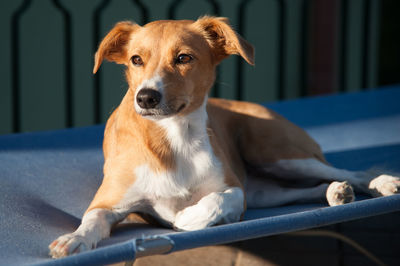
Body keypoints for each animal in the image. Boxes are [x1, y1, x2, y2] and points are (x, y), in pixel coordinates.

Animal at [48, 16, 398, 258]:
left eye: (184, 58)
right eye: (136, 59)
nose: (146, 97)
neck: (175, 138)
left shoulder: (234, 190)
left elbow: (213, 202)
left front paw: (186, 217)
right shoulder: (108, 201)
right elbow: (92, 220)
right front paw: (73, 239)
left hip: (277, 154)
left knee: (352, 171)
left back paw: (381, 184)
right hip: (265, 191)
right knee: (304, 191)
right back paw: (336, 193)